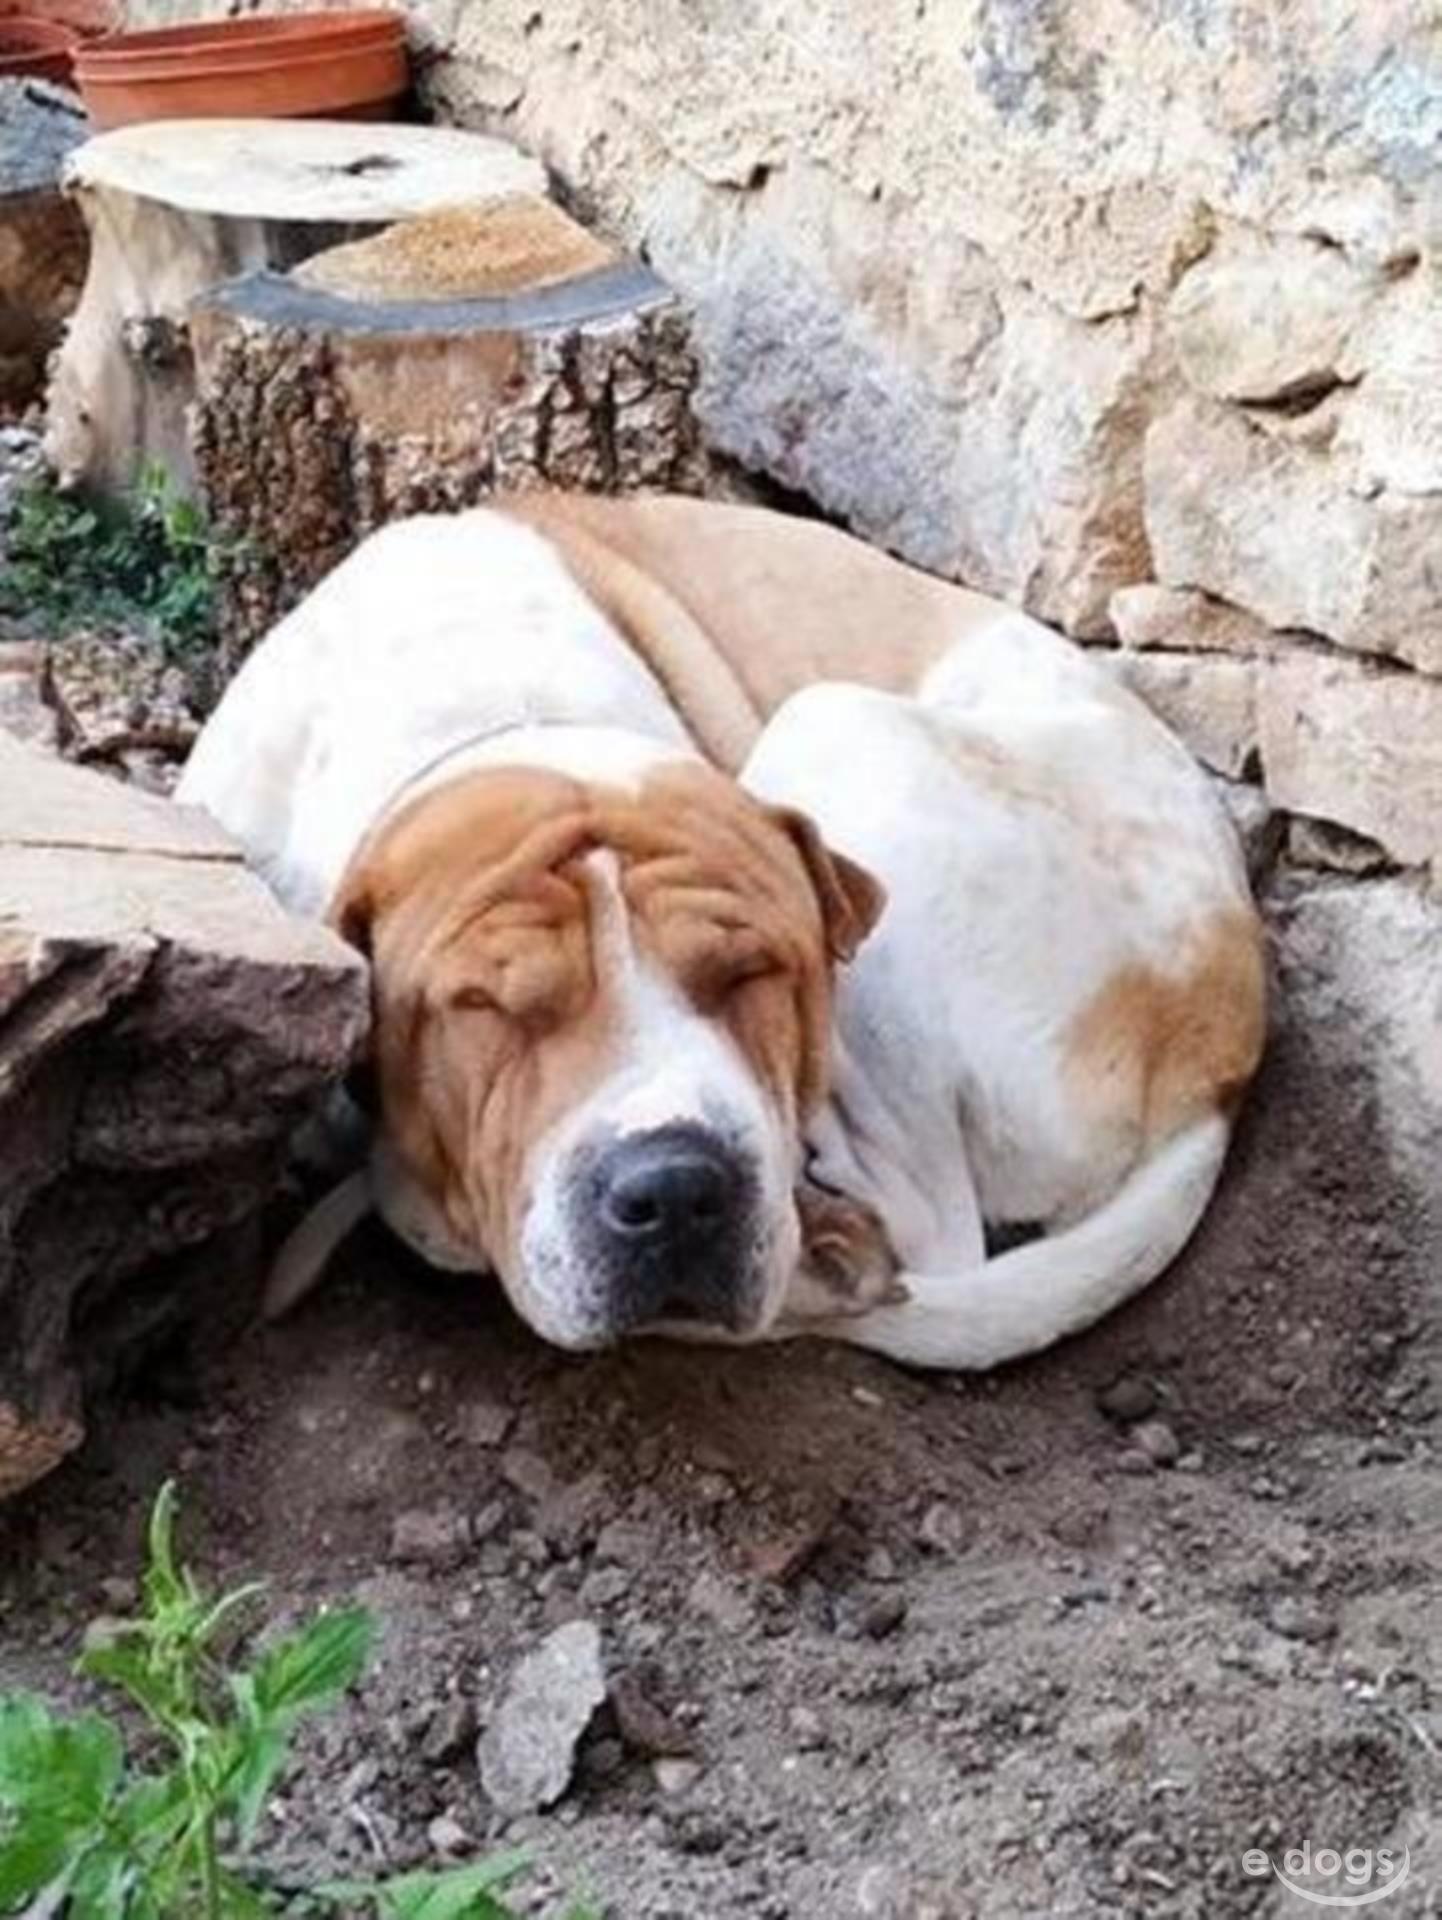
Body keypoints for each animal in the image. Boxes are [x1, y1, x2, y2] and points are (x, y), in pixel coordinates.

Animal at [177, 495, 1259, 1367]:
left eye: (753, 973)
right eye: (486, 1006)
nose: (675, 1187)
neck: (484, 712)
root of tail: (1223, 1055)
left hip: (839, 732)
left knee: (935, 1229)